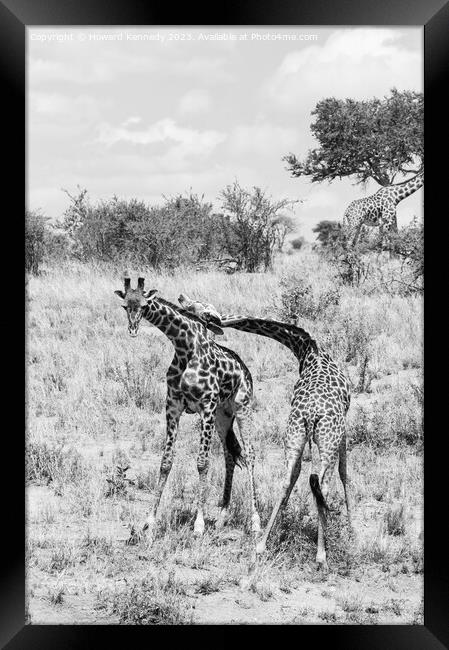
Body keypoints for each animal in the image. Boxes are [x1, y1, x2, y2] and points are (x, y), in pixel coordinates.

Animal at [114, 274, 260, 540]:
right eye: (125, 305)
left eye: (143, 305)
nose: (132, 329)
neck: (184, 347)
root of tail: (245, 370)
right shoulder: (173, 406)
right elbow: (166, 461)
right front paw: (149, 522)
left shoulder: (206, 407)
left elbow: (202, 463)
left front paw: (198, 525)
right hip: (224, 416)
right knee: (229, 454)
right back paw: (221, 517)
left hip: (242, 407)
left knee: (250, 453)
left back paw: (255, 522)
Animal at [178, 294, 350, 568]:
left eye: (202, 307)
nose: (181, 298)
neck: (308, 350)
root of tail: (313, 413)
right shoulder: (344, 427)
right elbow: (345, 474)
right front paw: (352, 530)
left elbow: (297, 476)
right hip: (325, 439)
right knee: (323, 484)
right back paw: (321, 554)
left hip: (295, 434)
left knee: (289, 479)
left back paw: (262, 544)